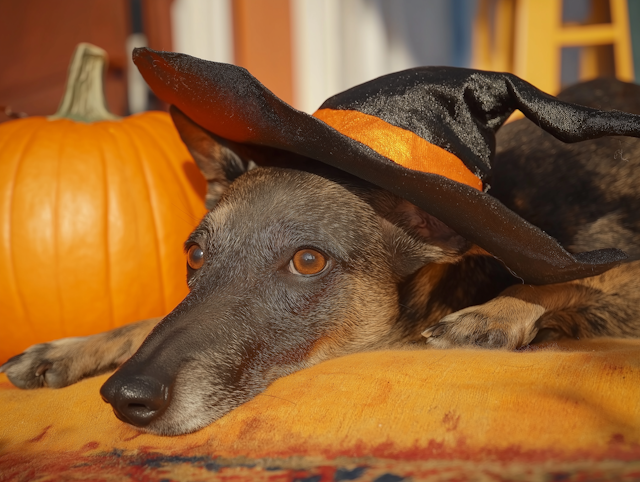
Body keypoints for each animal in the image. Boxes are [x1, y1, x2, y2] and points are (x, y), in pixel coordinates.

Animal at [1, 76, 640, 436]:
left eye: (308, 261)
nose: (124, 397)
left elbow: (565, 277)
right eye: (195, 254)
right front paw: (72, 347)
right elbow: (154, 319)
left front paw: (497, 312)